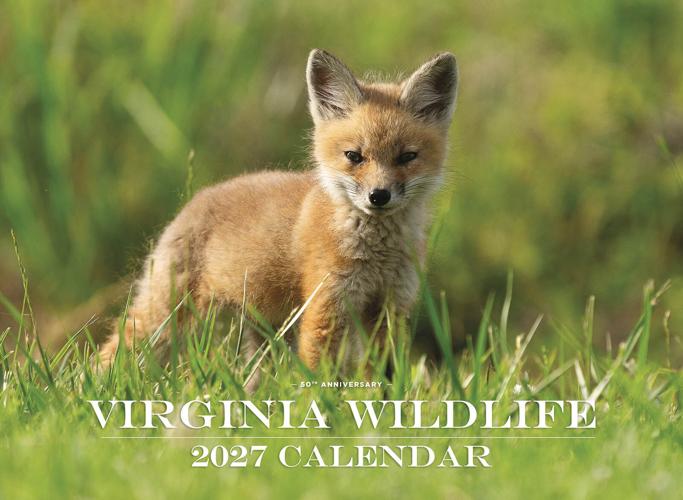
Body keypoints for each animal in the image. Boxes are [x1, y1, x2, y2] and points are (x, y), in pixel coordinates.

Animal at [97, 49, 458, 375]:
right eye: (354, 156)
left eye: (407, 157)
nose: (378, 196)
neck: (378, 255)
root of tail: (197, 196)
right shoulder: (326, 306)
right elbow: (320, 378)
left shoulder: (390, 308)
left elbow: (386, 378)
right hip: (165, 315)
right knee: (115, 349)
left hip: (263, 332)